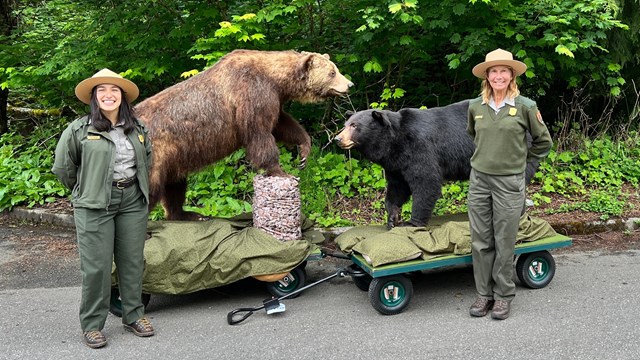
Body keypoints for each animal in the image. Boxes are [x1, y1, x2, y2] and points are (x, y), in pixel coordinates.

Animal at [136, 49, 356, 221]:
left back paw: (187, 214)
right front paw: (280, 170)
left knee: (175, 186)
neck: (276, 80)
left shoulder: (273, 99)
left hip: (175, 156)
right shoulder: (251, 93)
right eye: (332, 72)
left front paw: (303, 151)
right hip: (155, 156)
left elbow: (282, 124)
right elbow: (260, 134)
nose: (350, 84)